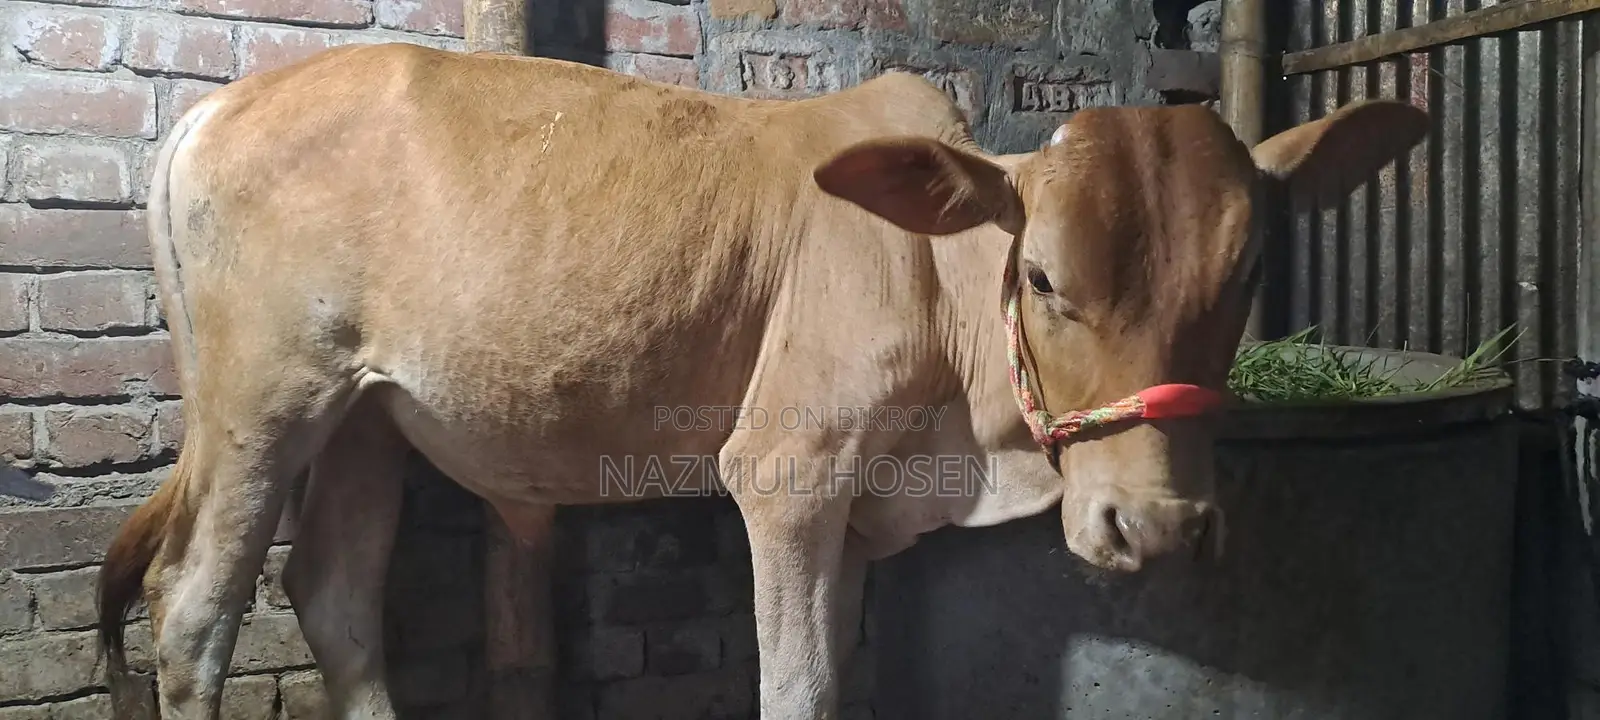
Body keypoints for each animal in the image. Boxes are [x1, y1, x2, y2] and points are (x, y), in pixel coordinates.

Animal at [94, 42, 1428, 719]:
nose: (1153, 525)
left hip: (370, 416)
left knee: (335, 599)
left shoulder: (852, 506)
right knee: (194, 609)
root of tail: (215, 109)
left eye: (1248, 272)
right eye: (1042, 276)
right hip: (263, 403)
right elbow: (798, 686)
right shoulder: (784, 475)